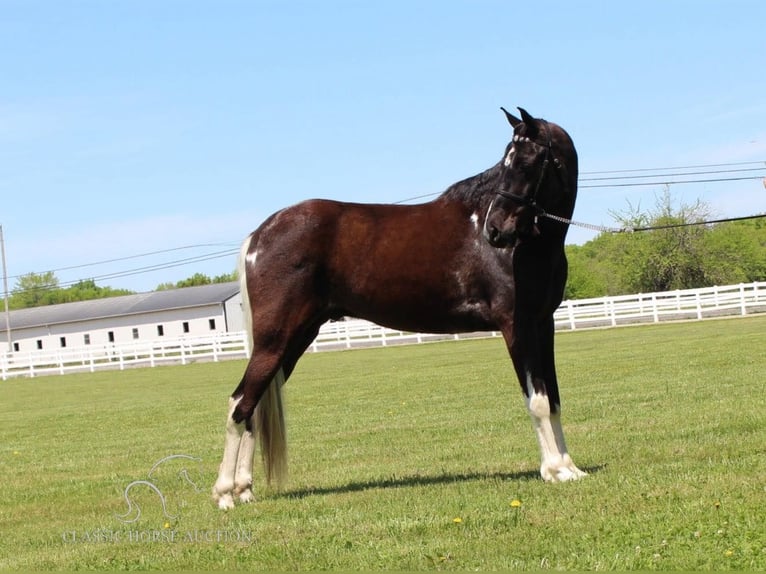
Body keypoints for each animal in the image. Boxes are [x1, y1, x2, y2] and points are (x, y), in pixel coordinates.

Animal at [213, 106, 584, 510]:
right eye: (506, 161)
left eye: (528, 161)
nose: (495, 229)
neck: (527, 248)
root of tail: (259, 235)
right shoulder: (516, 326)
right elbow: (537, 400)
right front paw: (553, 470)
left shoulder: (543, 325)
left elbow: (555, 398)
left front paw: (570, 468)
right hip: (275, 341)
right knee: (238, 404)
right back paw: (225, 494)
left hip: (294, 340)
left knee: (254, 404)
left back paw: (243, 489)